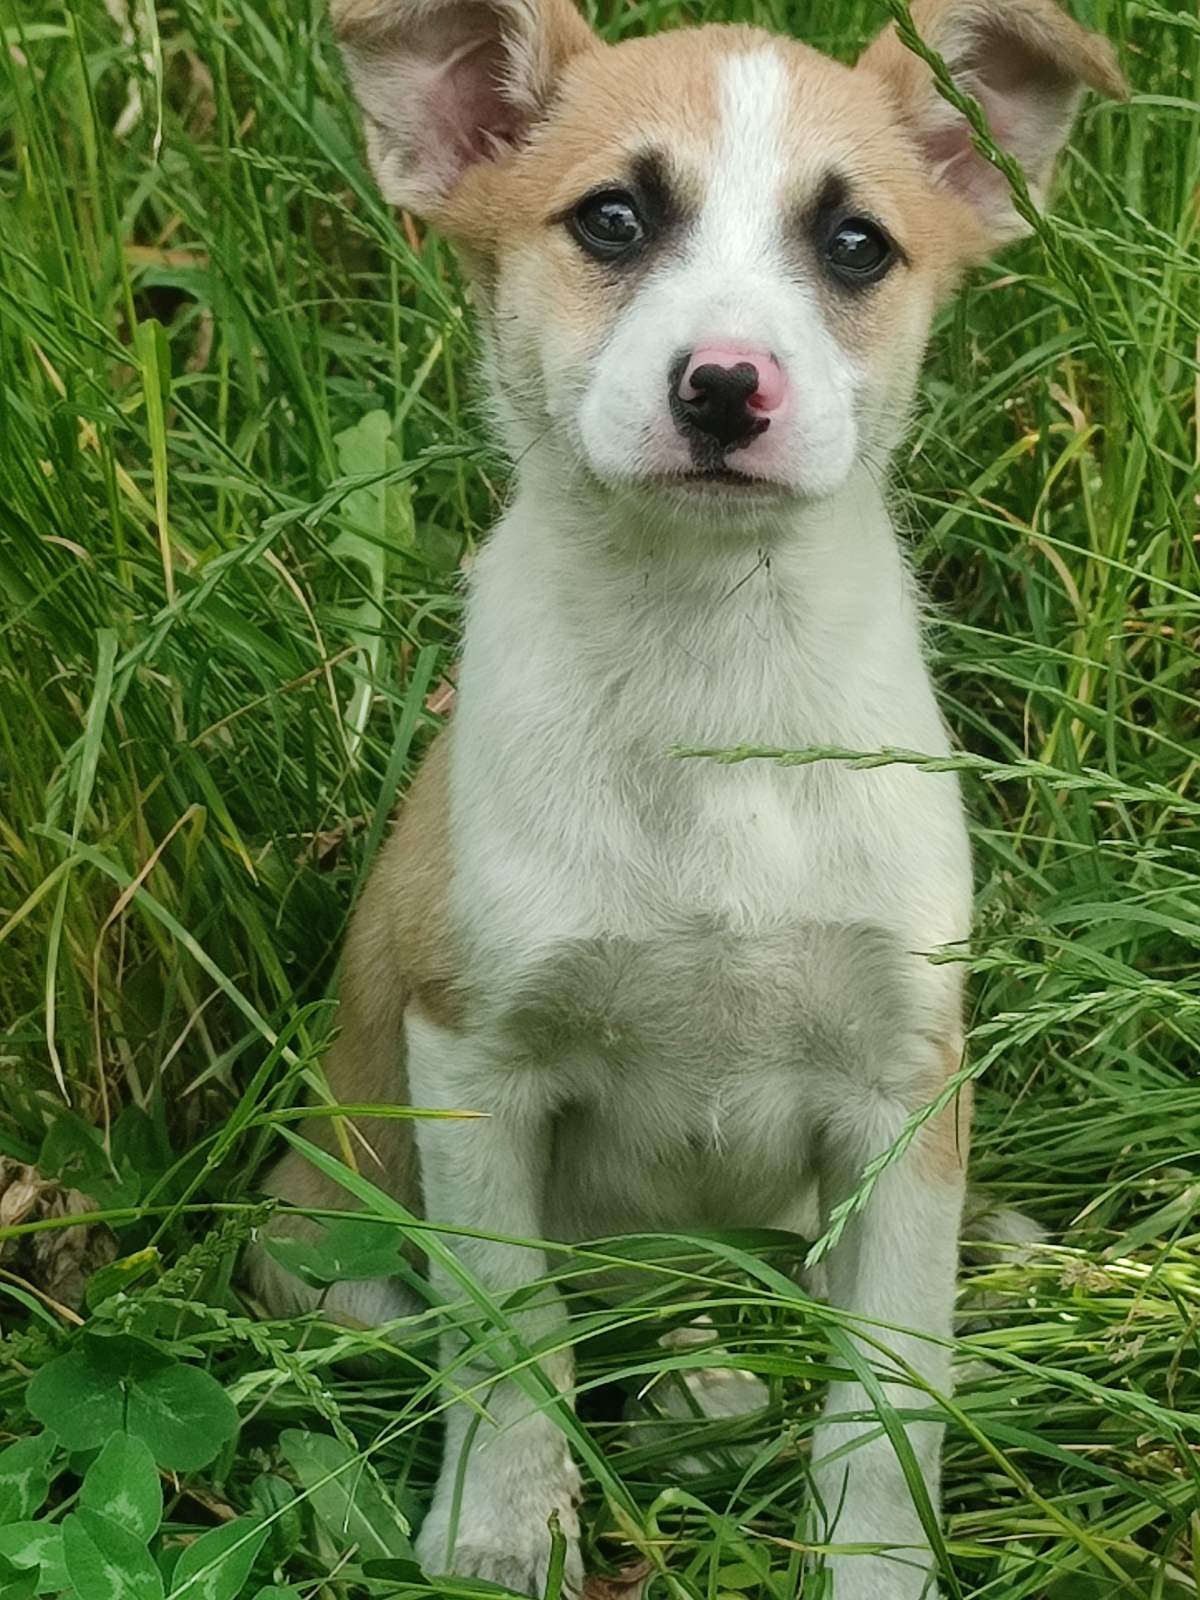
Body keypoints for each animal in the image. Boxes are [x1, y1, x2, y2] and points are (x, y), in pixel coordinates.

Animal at [251, 6, 1126, 1593]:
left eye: (854, 244)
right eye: (612, 220)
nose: (724, 385)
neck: (709, 660)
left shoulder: (906, 1089)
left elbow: (889, 1390)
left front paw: (876, 1566)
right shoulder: (473, 1062)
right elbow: (511, 1340)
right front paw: (501, 1532)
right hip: (322, 1238)